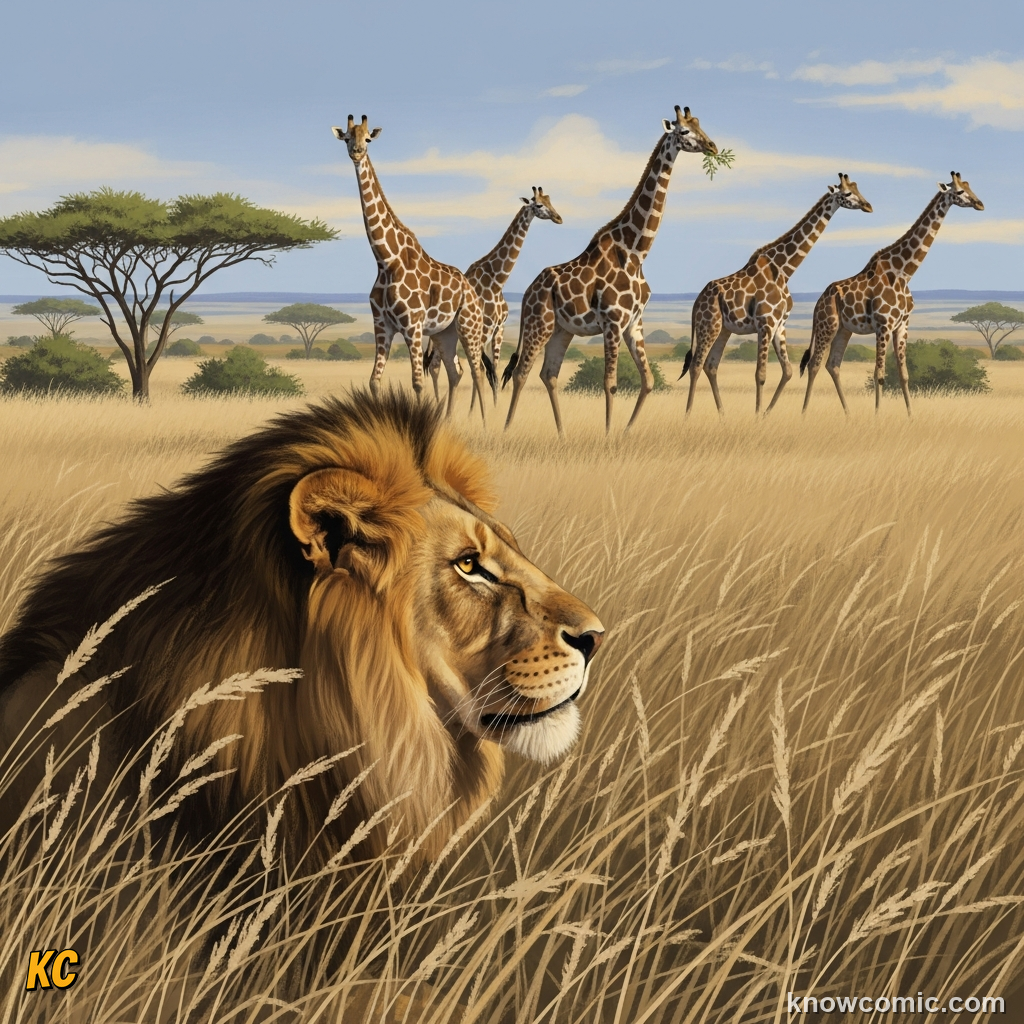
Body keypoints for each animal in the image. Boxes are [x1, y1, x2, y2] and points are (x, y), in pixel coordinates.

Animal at [332, 115, 488, 421]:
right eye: (347, 137)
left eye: (368, 138)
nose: (357, 152)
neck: (386, 260)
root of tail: (473, 292)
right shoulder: (382, 325)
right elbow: (374, 381)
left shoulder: (412, 326)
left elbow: (417, 383)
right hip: (444, 333)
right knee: (456, 371)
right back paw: (449, 420)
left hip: (468, 326)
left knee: (478, 372)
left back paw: (488, 424)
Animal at [426, 187, 563, 413]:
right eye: (539, 205)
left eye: (550, 200)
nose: (559, 218)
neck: (496, 281)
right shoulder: (483, 329)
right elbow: (482, 369)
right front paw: (473, 412)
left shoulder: (499, 328)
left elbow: (495, 370)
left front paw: (495, 408)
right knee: (435, 365)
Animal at [501, 106, 719, 435]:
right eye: (683, 131)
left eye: (699, 125)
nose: (712, 147)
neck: (636, 252)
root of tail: (527, 292)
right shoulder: (613, 323)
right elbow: (611, 384)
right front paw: (607, 435)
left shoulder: (634, 323)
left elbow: (648, 381)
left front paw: (627, 431)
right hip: (540, 324)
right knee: (521, 372)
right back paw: (507, 429)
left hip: (562, 330)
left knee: (548, 374)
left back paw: (562, 433)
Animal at [682, 174, 873, 416]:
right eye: (847, 193)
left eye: (858, 189)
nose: (868, 206)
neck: (784, 269)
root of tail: (696, 303)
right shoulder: (765, 323)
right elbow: (760, 375)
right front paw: (756, 416)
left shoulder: (779, 325)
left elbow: (788, 371)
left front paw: (765, 413)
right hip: (709, 325)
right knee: (696, 365)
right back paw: (688, 414)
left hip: (724, 329)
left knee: (711, 365)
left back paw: (723, 415)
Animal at [801, 172, 984, 416]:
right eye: (959, 191)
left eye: (969, 186)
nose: (980, 204)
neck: (904, 272)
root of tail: (818, 302)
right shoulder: (883, 325)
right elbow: (879, 374)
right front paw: (877, 415)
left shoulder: (902, 325)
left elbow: (904, 374)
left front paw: (911, 415)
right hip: (827, 324)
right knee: (814, 364)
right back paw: (804, 413)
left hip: (843, 329)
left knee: (833, 364)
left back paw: (848, 414)